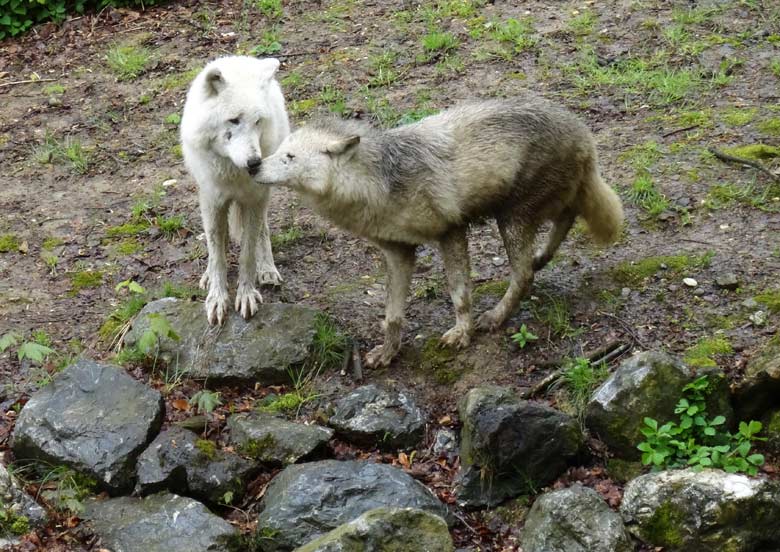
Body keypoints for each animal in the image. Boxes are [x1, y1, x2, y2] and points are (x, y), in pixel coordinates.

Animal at [180, 56, 290, 326]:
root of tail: (238, 58)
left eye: (257, 121)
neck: (233, 172)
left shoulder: (254, 200)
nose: (254, 163)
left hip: (262, 199)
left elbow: (247, 253)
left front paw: (246, 295)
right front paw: (217, 298)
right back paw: (208, 275)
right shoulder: (213, 201)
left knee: (263, 230)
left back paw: (267, 269)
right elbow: (217, 253)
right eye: (233, 120)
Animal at [253, 97, 624, 368]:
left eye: (289, 157)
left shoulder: (451, 232)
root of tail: (582, 131)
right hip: (532, 211)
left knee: (524, 275)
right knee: (568, 218)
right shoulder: (398, 252)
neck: (378, 184)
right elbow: (392, 315)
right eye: (279, 150)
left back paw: (496, 316)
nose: (253, 165)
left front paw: (462, 334)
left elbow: (459, 293)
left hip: (512, 219)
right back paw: (542, 256)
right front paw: (388, 353)